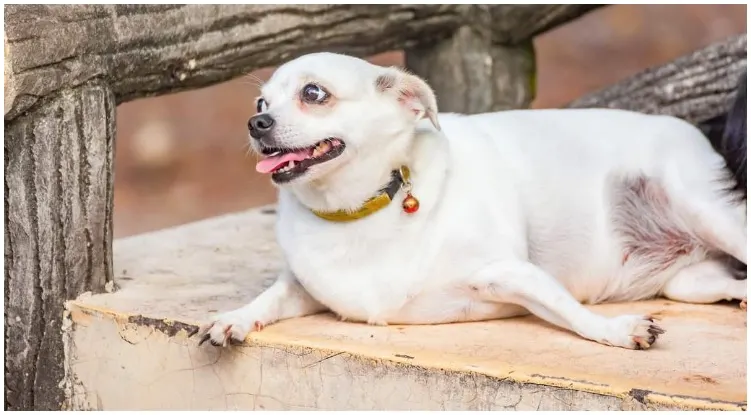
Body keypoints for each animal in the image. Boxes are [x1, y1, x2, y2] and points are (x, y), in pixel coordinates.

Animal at [197, 52, 748, 352]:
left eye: (314, 93)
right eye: (261, 102)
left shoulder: (512, 272)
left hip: (705, 211)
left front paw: (616, 330)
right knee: (724, 281)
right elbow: (270, 297)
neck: (357, 213)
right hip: (686, 283)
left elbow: (571, 313)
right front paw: (234, 318)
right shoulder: (305, 288)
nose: (256, 123)